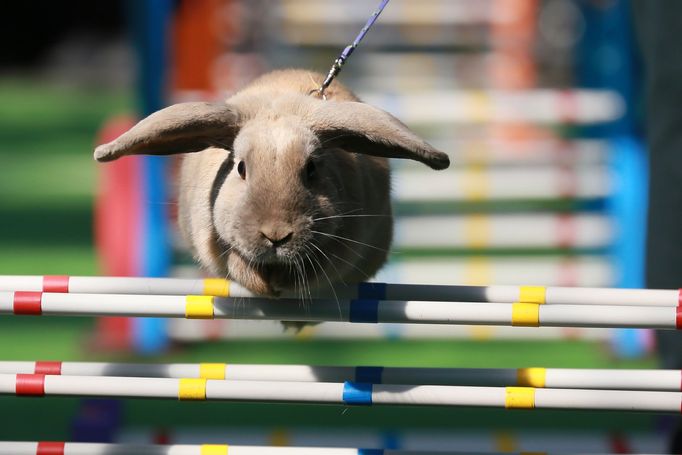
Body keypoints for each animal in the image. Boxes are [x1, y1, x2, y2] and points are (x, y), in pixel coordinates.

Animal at [94, 69, 446, 300]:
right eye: (240, 168)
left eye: (311, 168)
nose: (276, 235)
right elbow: (241, 267)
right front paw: (267, 285)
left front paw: (282, 282)